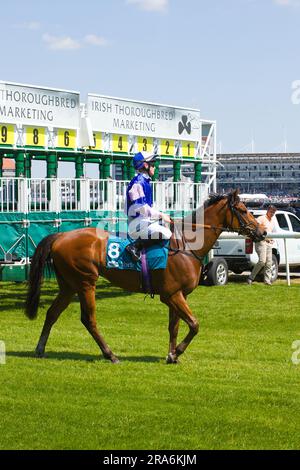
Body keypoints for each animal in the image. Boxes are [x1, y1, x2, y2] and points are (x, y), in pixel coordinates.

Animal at [24, 190, 266, 364]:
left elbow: (174, 326)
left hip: (69, 285)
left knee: (52, 313)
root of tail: (61, 236)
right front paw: (177, 352)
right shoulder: (171, 295)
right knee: (88, 319)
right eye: (243, 210)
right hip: (85, 283)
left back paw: (40, 349)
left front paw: (171, 355)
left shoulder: (178, 295)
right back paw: (110, 354)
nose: (262, 232)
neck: (186, 245)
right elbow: (194, 324)